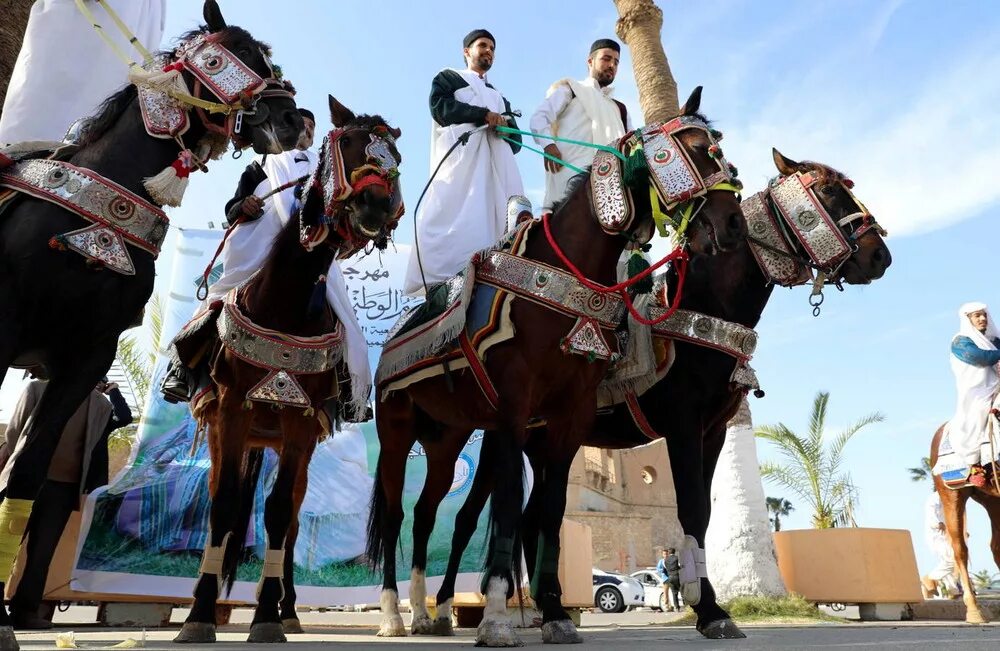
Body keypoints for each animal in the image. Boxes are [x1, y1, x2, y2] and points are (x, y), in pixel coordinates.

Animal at [172, 94, 402, 644]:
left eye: (396, 158)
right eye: (349, 142)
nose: (376, 204)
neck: (287, 304)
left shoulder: (298, 424)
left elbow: (279, 515)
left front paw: (267, 619)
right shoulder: (232, 412)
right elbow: (225, 506)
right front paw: (198, 616)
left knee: (294, 517)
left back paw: (287, 607)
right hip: (229, 430)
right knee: (224, 503)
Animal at [366, 86, 744, 648]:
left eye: (718, 150)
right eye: (693, 150)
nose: (733, 224)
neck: (565, 275)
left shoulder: (568, 417)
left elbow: (547, 512)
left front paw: (556, 614)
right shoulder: (513, 411)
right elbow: (507, 510)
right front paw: (498, 618)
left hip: (447, 437)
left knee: (425, 512)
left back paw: (425, 614)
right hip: (395, 429)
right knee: (394, 514)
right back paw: (393, 614)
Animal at [434, 150, 896, 640]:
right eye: (827, 190)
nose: (880, 256)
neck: (703, 304)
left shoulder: (713, 432)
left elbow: (704, 516)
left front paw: (708, 603)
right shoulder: (683, 426)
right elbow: (690, 511)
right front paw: (711, 610)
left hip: (546, 444)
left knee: (532, 518)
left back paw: (546, 609)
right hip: (509, 434)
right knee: (469, 519)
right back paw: (445, 610)